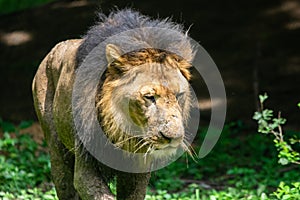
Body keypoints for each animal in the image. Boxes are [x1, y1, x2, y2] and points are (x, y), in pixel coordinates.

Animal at [32, 9, 196, 200]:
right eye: (149, 97)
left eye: (179, 95)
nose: (173, 137)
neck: (123, 132)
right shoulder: (85, 164)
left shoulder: (137, 170)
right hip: (56, 145)